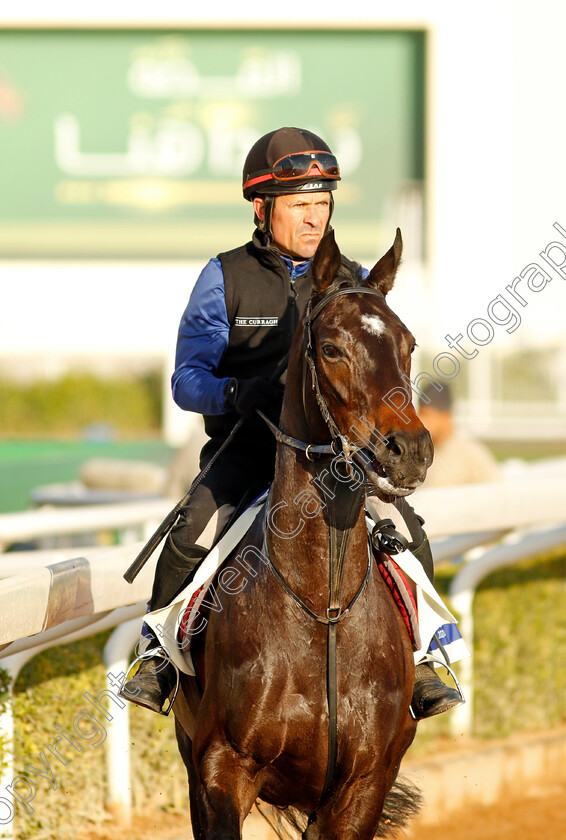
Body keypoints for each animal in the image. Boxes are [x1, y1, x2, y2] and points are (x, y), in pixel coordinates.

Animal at [173, 228, 434, 840]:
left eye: (409, 344)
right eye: (332, 348)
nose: (410, 450)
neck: (324, 609)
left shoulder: (363, 785)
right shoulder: (220, 767)